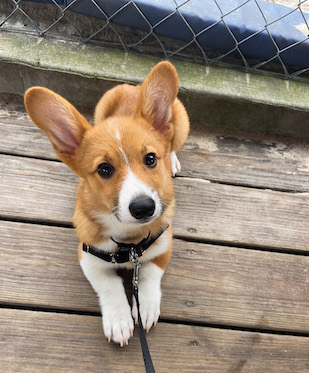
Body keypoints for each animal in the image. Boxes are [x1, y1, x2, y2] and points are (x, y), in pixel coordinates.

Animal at [24, 59, 189, 344]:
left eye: (150, 159)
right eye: (104, 169)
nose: (144, 208)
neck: (130, 242)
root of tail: (135, 87)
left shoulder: (164, 246)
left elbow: (148, 275)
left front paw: (145, 307)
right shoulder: (87, 257)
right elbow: (110, 286)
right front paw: (119, 321)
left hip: (181, 124)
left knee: (173, 143)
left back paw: (173, 160)